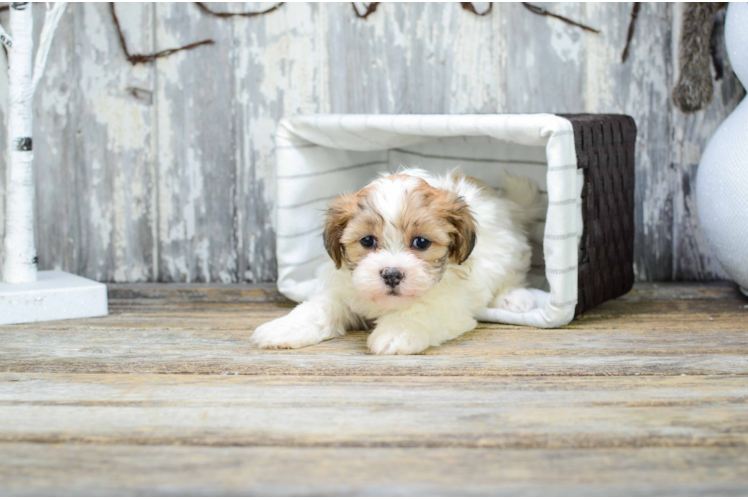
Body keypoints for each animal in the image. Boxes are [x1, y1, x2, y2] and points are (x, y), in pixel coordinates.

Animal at [251, 169, 536, 356]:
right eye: (367, 241)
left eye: (421, 242)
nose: (391, 274)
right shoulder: (344, 289)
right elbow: (318, 308)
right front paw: (285, 328)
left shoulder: (452, 301)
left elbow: (422, 309)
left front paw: (396, 332)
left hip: (509, 253)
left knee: (511, 276)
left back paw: (513, 298)